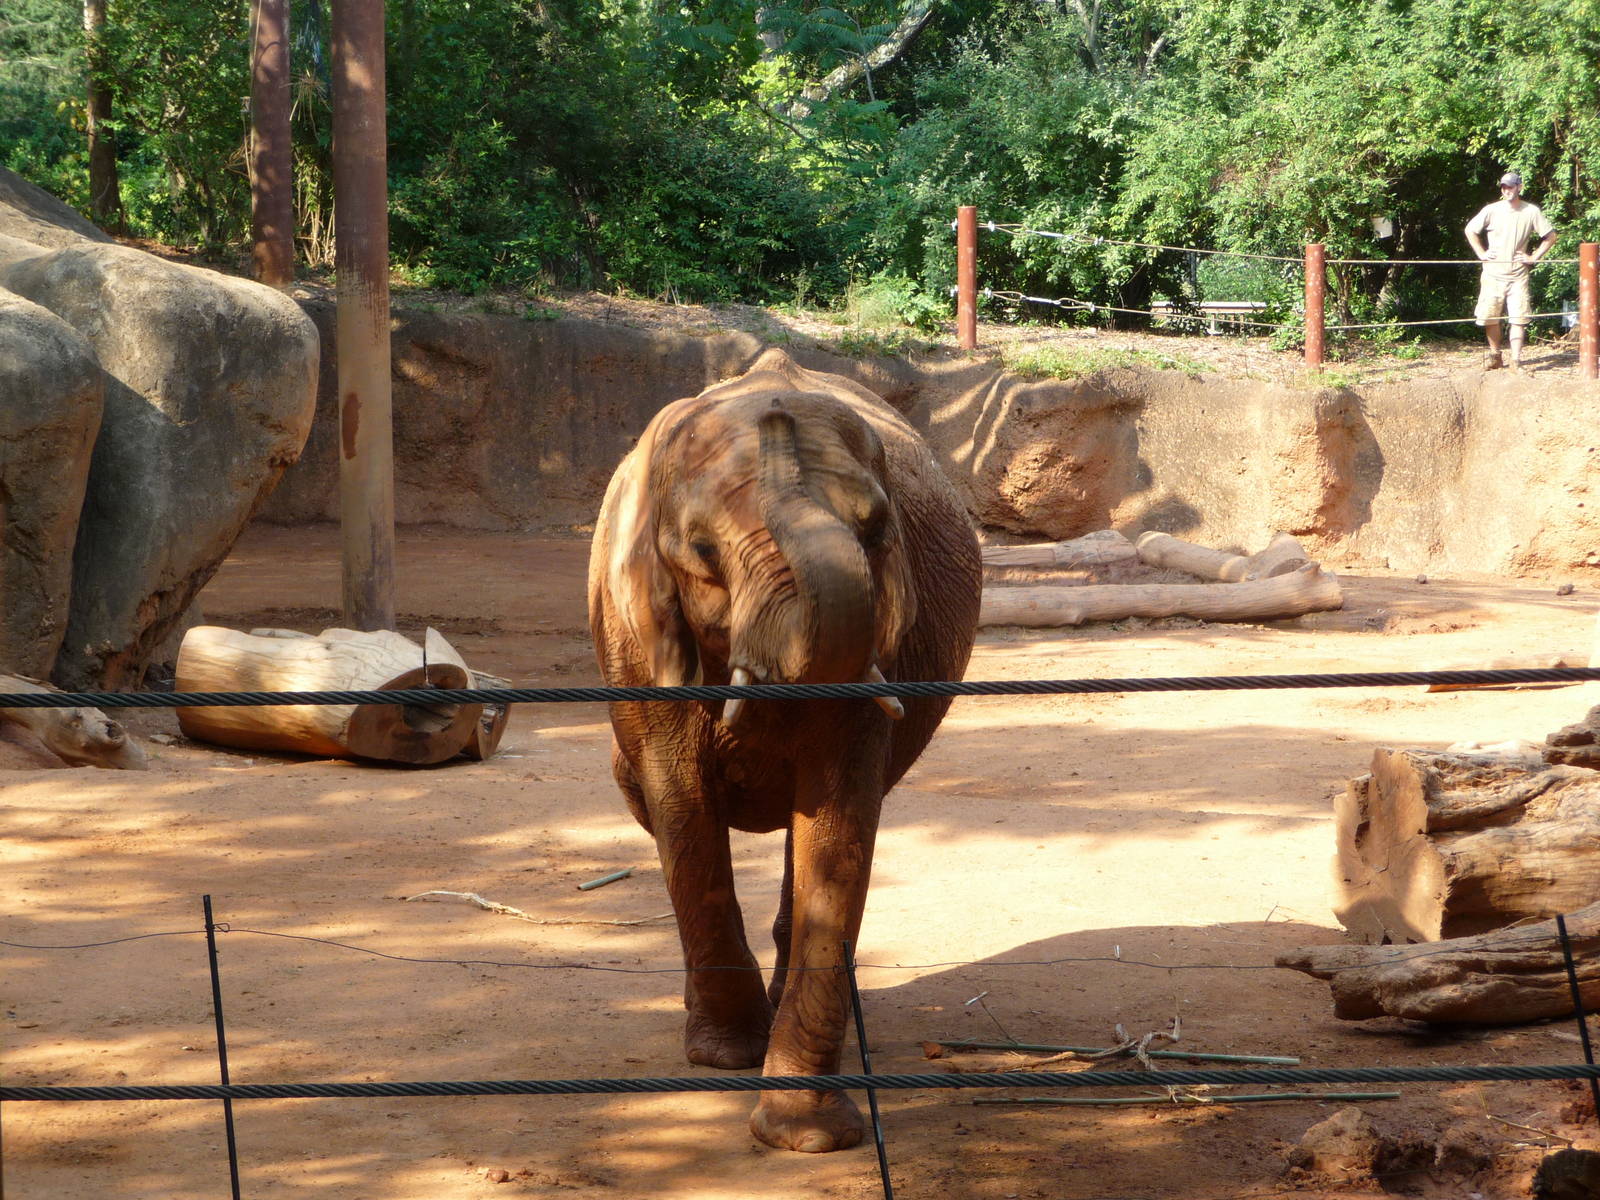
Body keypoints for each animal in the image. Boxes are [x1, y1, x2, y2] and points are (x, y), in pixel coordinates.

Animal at [587, 348, 981, 1153]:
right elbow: (683, 808)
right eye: (702, 552)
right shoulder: (639, 639)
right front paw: (725, 1060)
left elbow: (838, 823)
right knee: (638, 791)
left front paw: (805, 1138)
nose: (776, 414)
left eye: (876, 529)